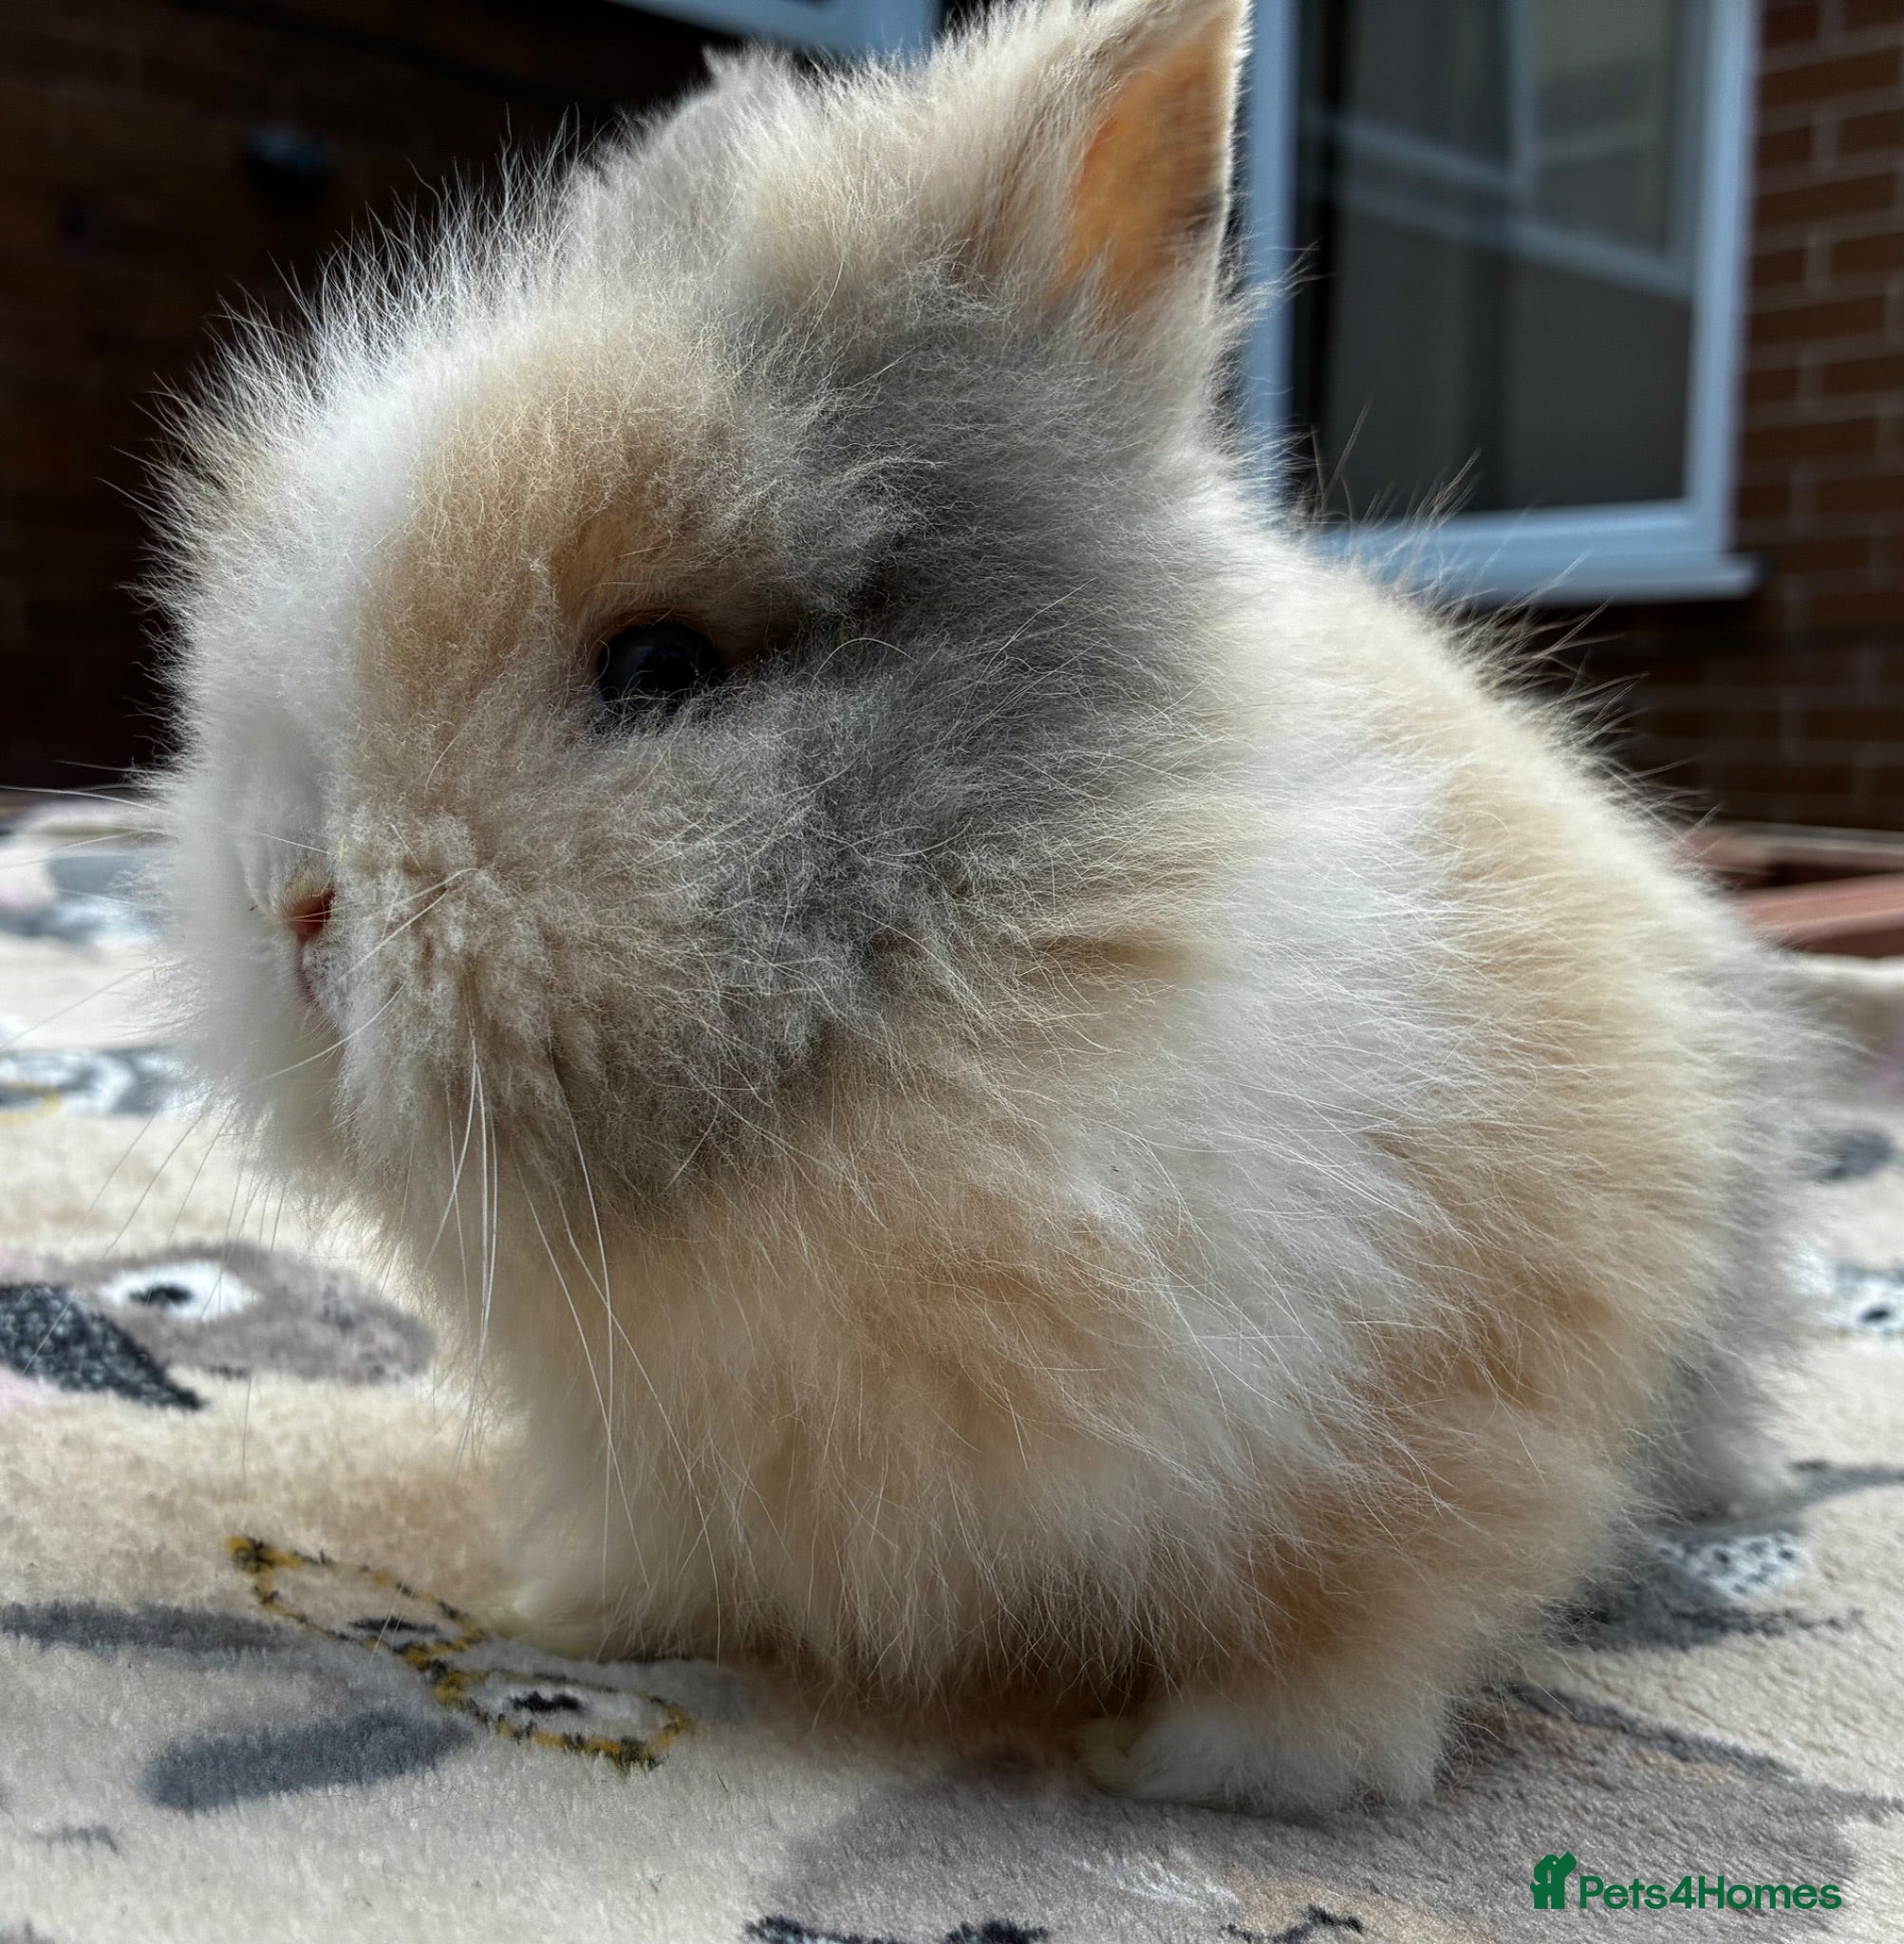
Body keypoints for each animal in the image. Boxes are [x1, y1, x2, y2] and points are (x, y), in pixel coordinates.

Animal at [149, 0, 1819, 1815]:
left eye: (660, 667)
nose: (292, 896)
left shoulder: (1471, 1400)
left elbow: (1351, 1627)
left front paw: (1195, 1768)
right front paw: (564, 1617)